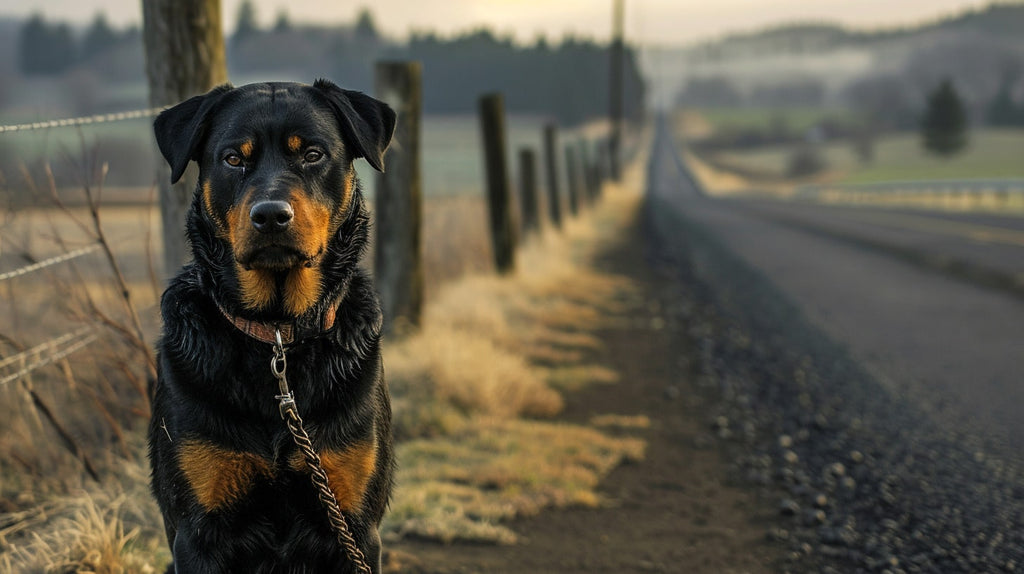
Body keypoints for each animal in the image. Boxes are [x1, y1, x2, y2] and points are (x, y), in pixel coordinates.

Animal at [148, 78, 395, 568]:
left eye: (313, 154)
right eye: (233, 158)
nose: (270, 215)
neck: (278, 332)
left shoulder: (355, 526)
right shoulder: (198, 531)